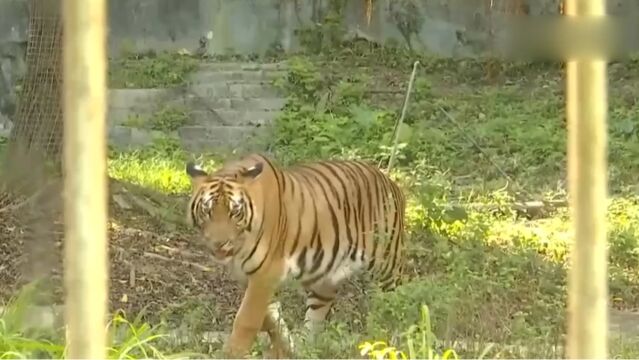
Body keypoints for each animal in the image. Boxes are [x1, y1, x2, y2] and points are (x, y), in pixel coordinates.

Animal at [185, 153, 408, 358]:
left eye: (235, 212)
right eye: (208, 211)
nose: (219, 243)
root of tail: (391, 182)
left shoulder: (264, 274)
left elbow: (247, 320)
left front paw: (232, 353)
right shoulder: (248, 278)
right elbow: (269, 318)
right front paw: (285, 347)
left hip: (386, 265)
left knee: (397, 301)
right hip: (325, 280)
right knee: (316, 316)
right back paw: (308, 348)